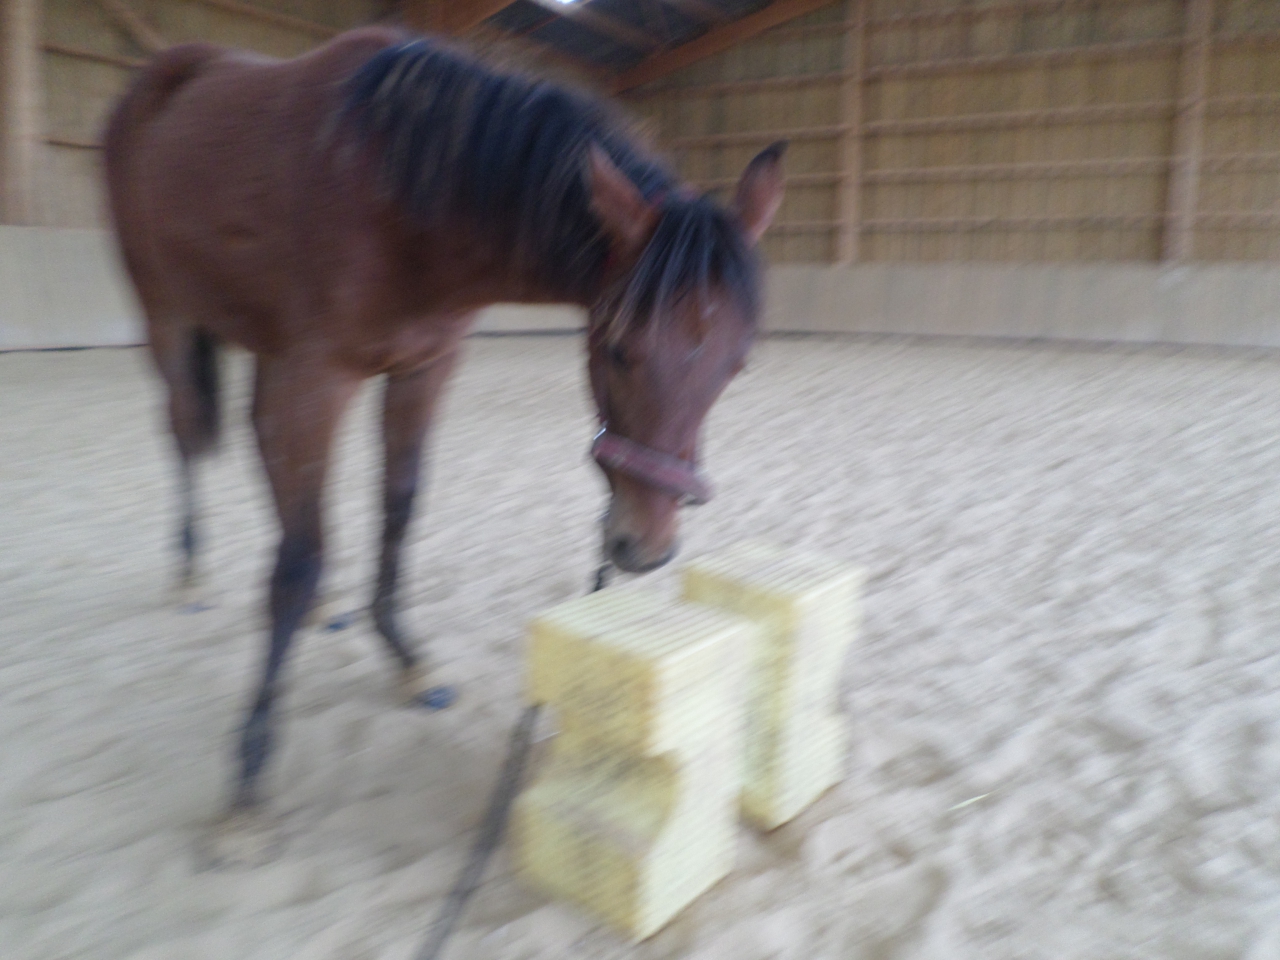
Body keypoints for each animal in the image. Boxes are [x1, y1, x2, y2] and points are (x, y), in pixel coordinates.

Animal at [103, 27, 785, 837]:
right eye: (619, 347)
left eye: (737, 366)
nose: (643, 547)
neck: (399, 187)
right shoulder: (316, 377)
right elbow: (300, 559)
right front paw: (250, 772)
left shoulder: (423, 367)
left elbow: (399, 506)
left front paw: (403, 654)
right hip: (166, 314)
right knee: (182, 429)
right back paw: (188, 565)